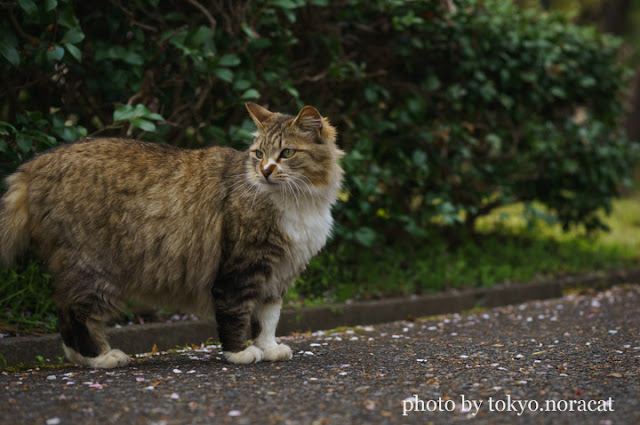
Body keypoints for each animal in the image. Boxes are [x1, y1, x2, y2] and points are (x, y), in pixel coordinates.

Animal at [0, 102, 344, 368]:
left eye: (287, 152)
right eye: (259, 154)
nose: (265, 171)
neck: (298, 201)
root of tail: (35, 164)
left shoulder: (277, 274)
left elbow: (268, 319)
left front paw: (269, 348)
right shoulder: (242, 269)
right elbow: (236, 314)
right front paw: (240, 353)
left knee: (63, 311)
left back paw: (84, 358)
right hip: (93, 268)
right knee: (75, 312)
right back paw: (101, 357)